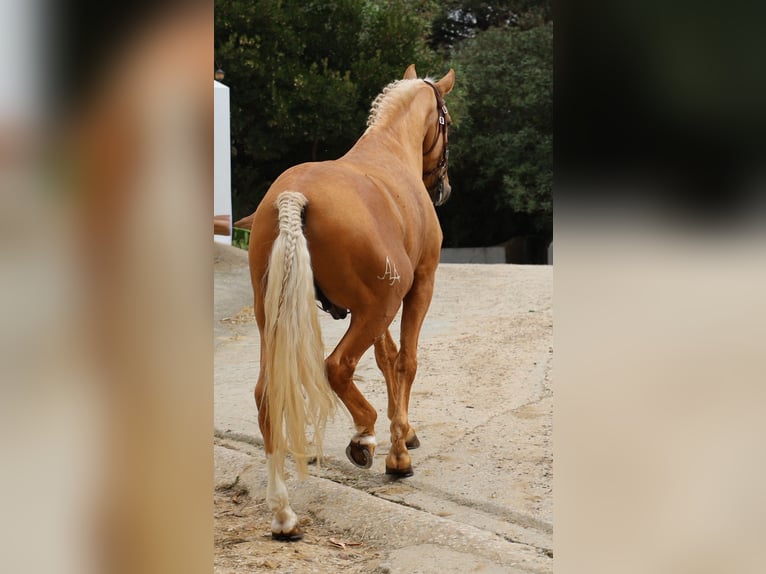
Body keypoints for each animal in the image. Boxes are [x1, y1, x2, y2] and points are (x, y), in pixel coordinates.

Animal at [246, 65, 452, 544]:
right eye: (448, 122)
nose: (444, 186)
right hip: (377, 307)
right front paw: (398, 453)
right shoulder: (416, 288)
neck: (390, 150)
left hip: (274, 318)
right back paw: (364, 436)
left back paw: (283, 513)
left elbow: (386, 357)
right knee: (337, 367)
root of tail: (294, 197)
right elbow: (405, 360)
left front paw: (405, 432)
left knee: (267, 395)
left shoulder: (376, 312)